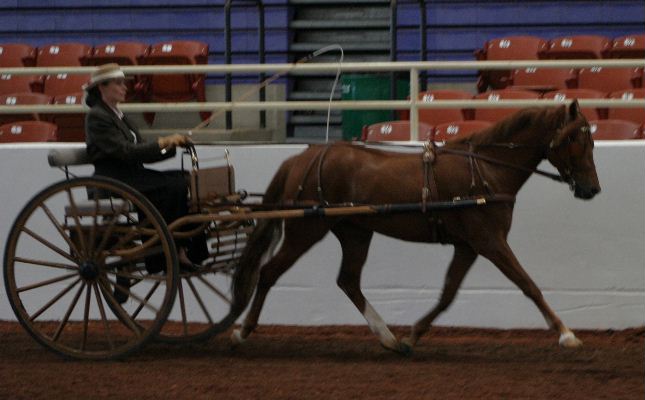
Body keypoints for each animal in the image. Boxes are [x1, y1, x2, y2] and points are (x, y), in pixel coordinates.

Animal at [226, 101, 600, 354]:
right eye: (575, 140)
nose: (592, 189)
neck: (487, 170)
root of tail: (301, 158)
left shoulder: (468, 246)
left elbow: (448, 294)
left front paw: (414, 333)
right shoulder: (490, 241)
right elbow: (528, 284)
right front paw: (566, 333)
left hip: (355, 232)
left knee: (348, 281)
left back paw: (389, 338)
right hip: (305, 231)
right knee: (269, 272)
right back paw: (242, 331)